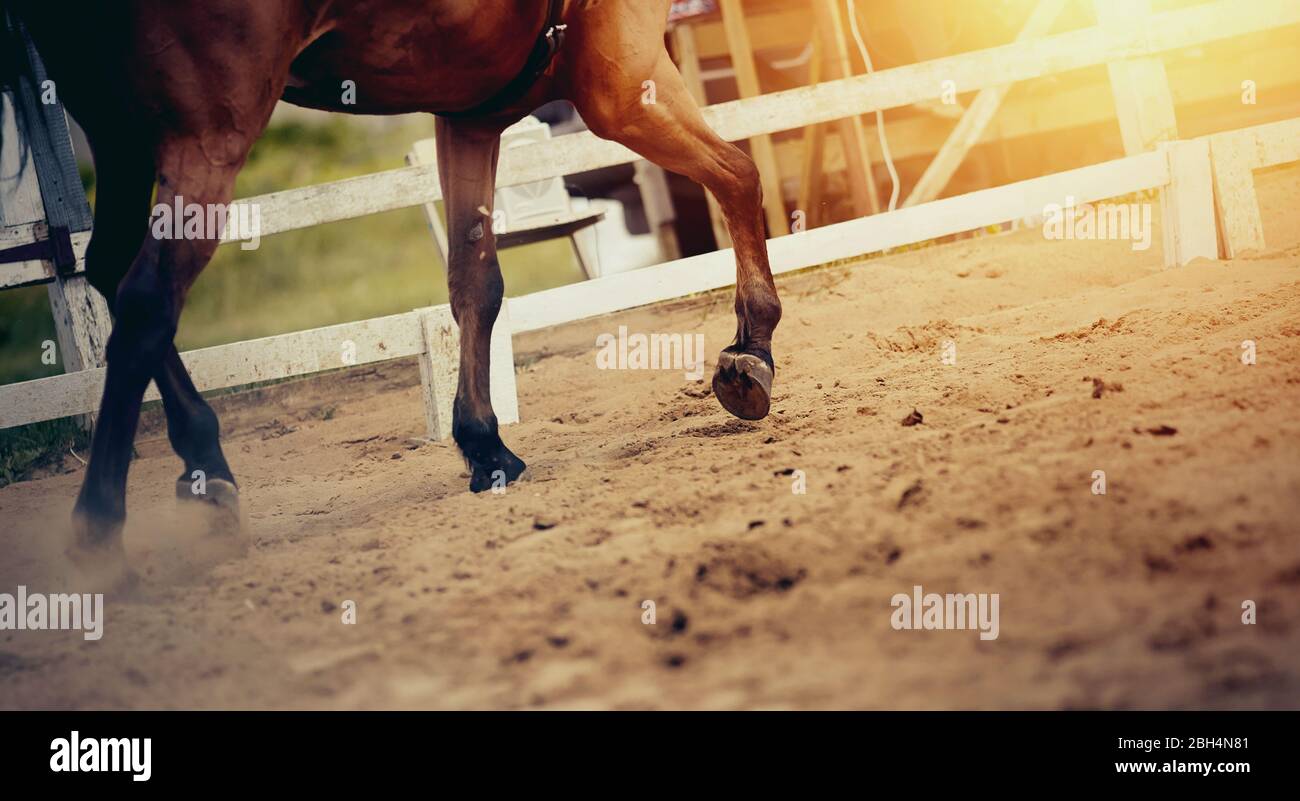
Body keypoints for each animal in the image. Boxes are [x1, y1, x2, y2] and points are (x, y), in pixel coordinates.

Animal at [2, 0, 783, 582]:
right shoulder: (621, 86)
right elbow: (739, 174)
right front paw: (752, 350)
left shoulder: (471, 115)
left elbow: (476, 284)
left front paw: (484, 447)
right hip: (204, 136)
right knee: (145, 303)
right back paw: (101, 528)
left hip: (126, 134)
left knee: (111, 276)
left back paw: (206, 470)